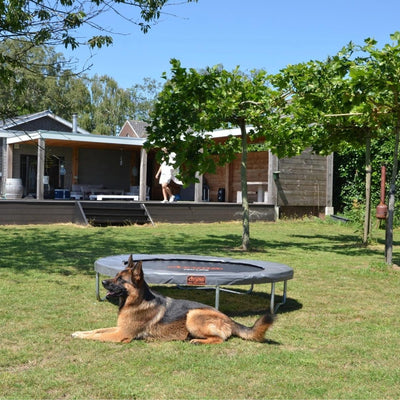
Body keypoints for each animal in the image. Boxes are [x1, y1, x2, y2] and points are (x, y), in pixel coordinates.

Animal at [70, 256, 274, 344]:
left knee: (220, 339)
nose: (103, 282)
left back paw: (197, 341)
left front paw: (82, 336)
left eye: (120, 280)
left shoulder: (121, 334)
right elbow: (97, 330)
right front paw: (79, 332)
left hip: (192, 315)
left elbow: (97, 336)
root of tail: (229, 319)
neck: (136, 301)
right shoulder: (119, 328)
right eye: (115, 276)